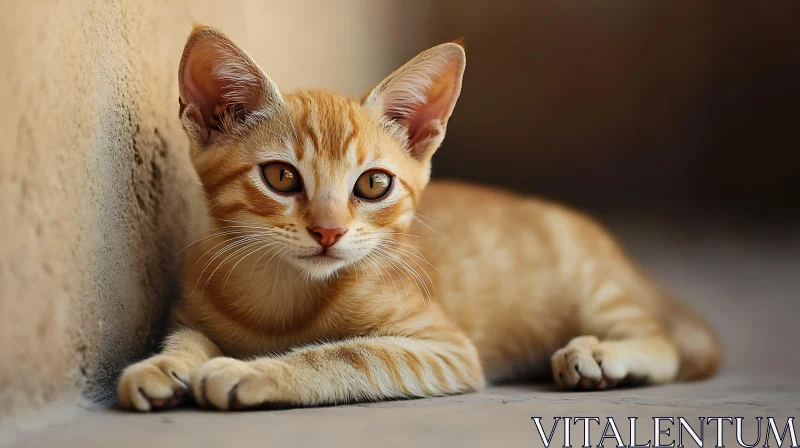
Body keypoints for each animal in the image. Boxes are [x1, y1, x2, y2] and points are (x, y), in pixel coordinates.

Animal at [117, 27, 720, 412]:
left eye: (373, 184)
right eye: (282, 177)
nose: (329, 231)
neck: (284, 296)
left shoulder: (446, 348)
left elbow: (348, 355)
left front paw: (255, 370)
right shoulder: (192, 302)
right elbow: (185, 337)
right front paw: (163, 365)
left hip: (596, 290)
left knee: (664, 344)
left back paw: (599, 353)